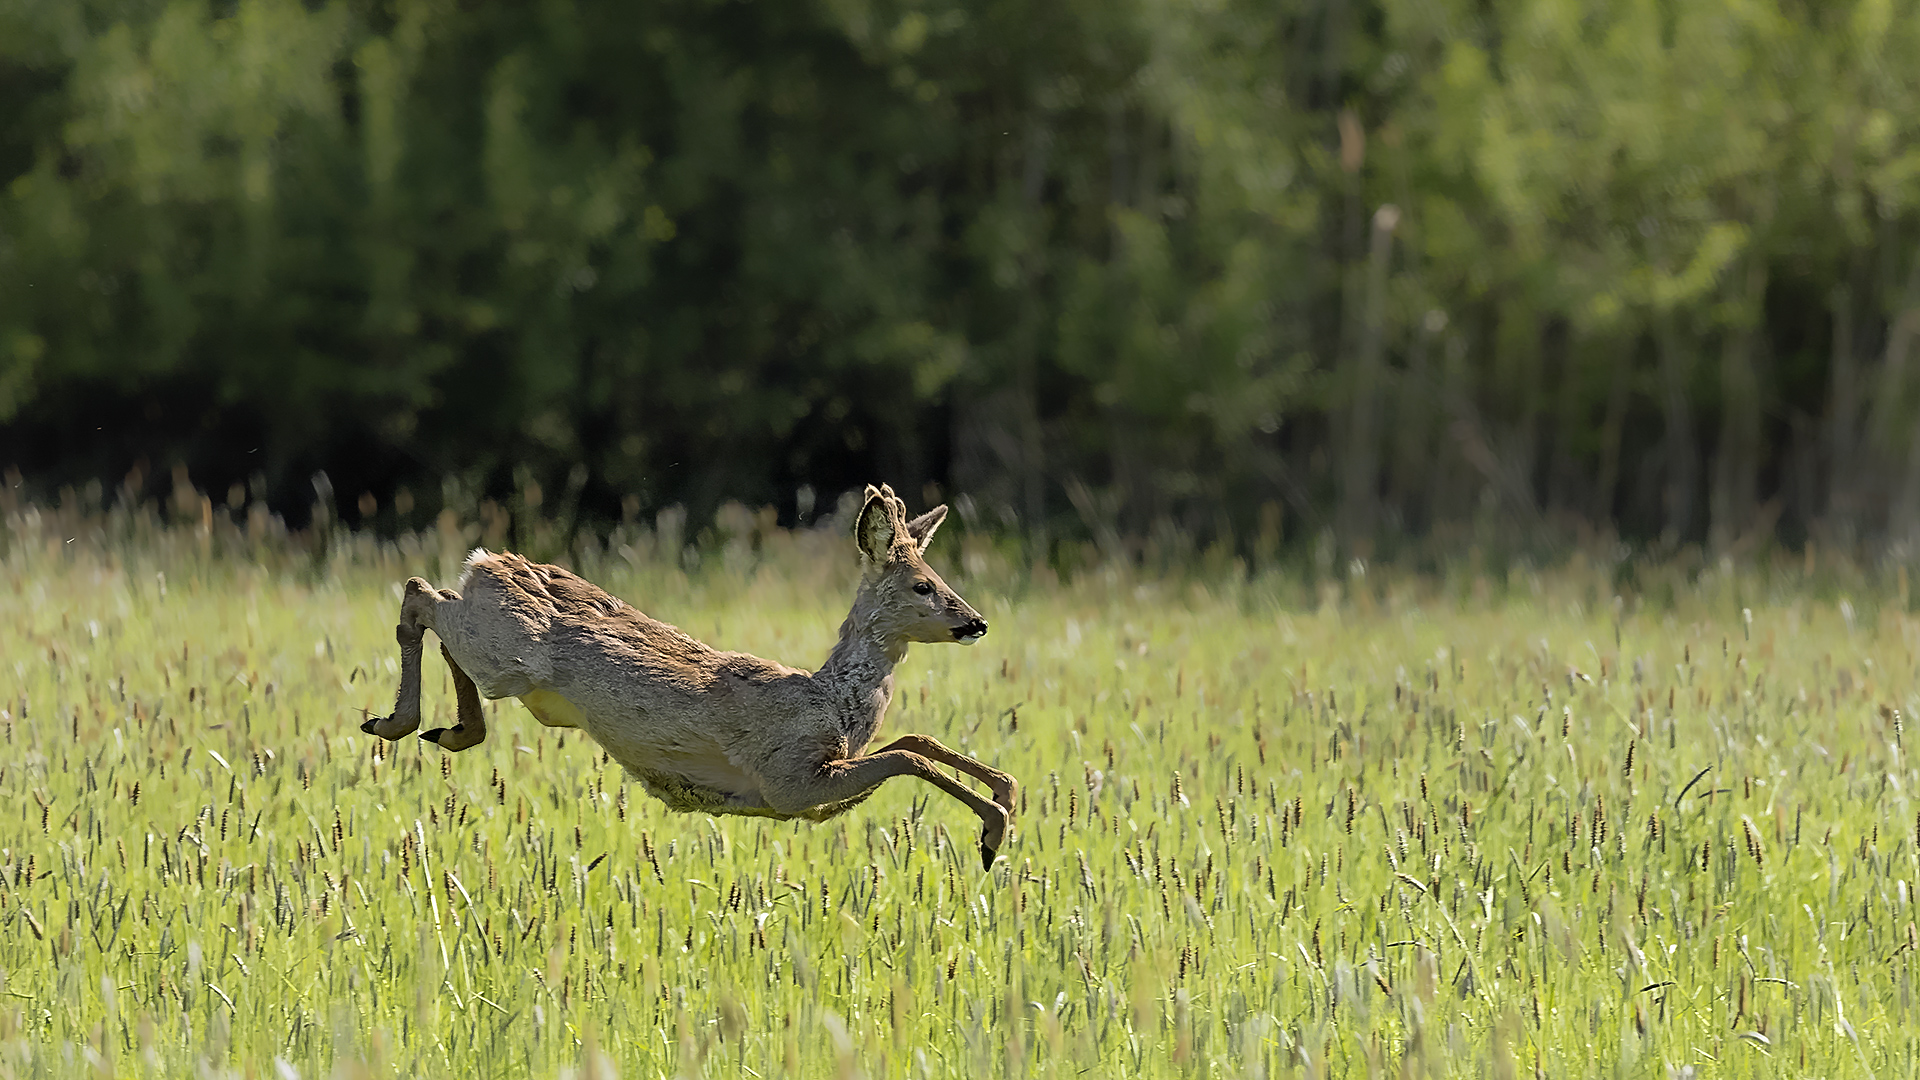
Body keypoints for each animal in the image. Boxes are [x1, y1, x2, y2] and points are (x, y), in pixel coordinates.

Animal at [360, 484, 1021, 868]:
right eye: (924, 585)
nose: (977, 622)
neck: (833, 699)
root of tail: (489, 562)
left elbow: (914, 739)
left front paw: (1007, 793)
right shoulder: (788, 783)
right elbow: (906, 756)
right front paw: (994, 833)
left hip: (501, 650)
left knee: (435, 603)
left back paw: (448, 730)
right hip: (507, 655)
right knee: (421, 594)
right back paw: (394, 722)